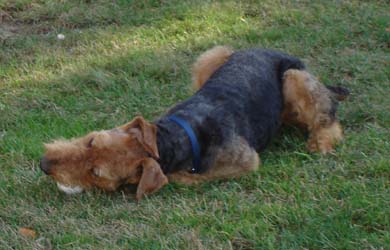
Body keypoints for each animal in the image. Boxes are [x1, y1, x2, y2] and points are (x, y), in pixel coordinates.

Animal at [39, 46, 348, 199]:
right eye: (91, 140)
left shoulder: (245, 163)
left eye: (96, 173)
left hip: (294, 78)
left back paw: (320, 142)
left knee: (329, 118)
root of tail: (280, 52)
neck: (175, 138)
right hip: (212, 57)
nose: (43, 164)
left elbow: (182, 177)